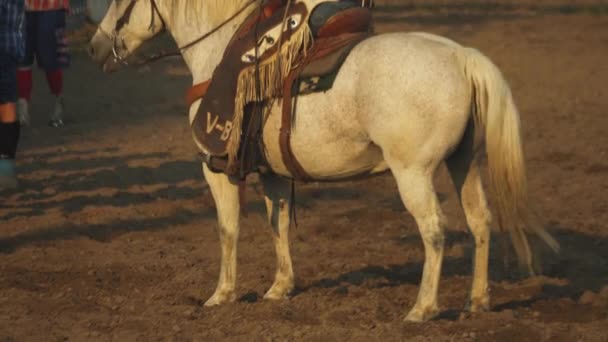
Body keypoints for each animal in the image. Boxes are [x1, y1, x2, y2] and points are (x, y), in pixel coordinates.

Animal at [88, 0, 560, 322]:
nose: (94, 47)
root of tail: (461, 55)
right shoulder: (274, 174)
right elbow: (277, 225)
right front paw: (280, 287)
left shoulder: (215, 167)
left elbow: (228, 229)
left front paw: (221, 294)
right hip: (464, 163)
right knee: (480, 221)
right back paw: (477, 300)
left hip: (413, 174)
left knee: (434, 230)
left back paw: (422, 308)